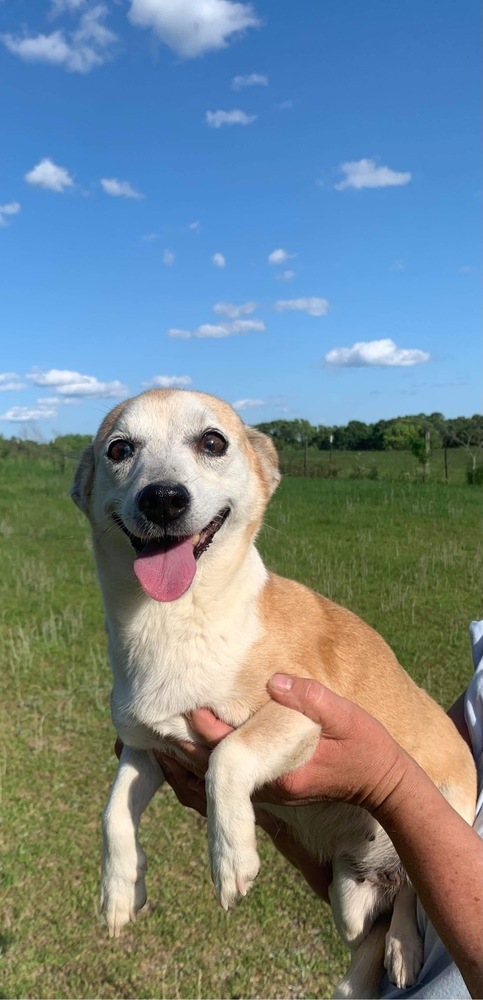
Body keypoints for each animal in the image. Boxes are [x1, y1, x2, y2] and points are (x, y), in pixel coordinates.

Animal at [72, 390, 476, 1000]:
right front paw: (119, 893)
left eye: (213, 441)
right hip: (347, 895)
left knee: (411, 888)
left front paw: (230, 856)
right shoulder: (150, 747)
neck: (175, 620)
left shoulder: (301, 714)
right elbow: (113, 811)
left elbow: (228, 756)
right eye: (118, 449)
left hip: (442, 806)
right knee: (372, 920)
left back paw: (405, 948)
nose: (163, 498)